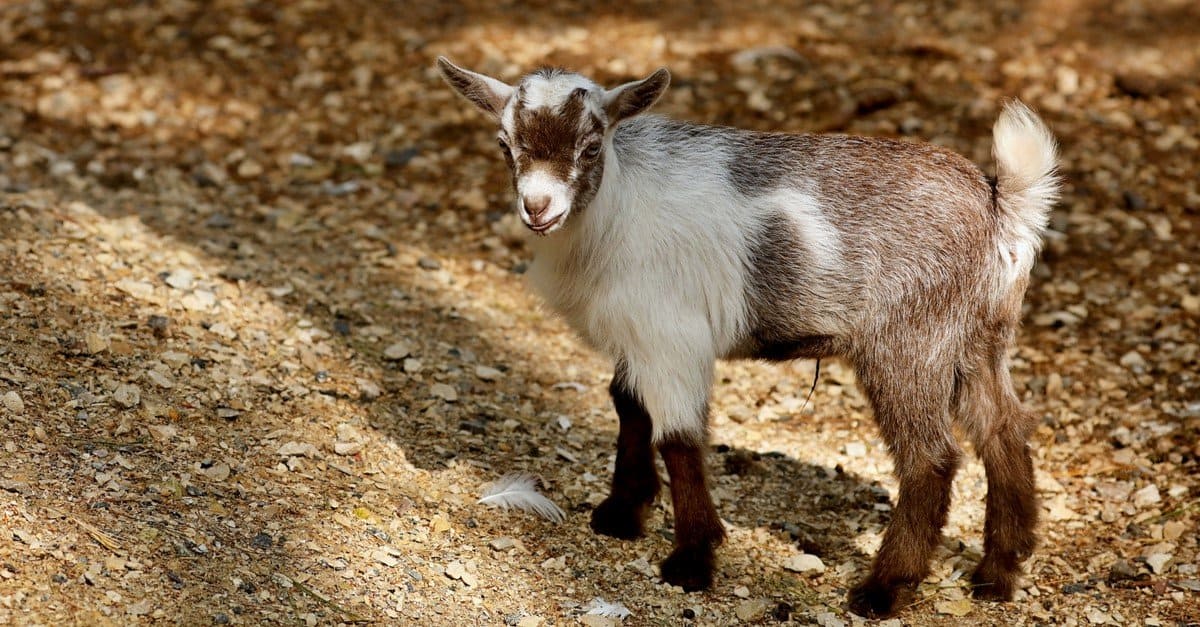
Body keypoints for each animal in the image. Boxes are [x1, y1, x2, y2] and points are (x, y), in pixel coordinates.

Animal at [441, 56, 1060, 614]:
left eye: (591, 146)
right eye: (504, 144)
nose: (538, 207)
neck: (615, 209)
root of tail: (1001, 207)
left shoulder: (671, 334)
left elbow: (678, 438)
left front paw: (692, 560)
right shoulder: (637, 334)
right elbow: (628, 406)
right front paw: (621, 513)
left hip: (909, 343)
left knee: (930, 457)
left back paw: (884, 590)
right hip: (978, 339)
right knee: (1003, 431)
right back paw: (996, 575)